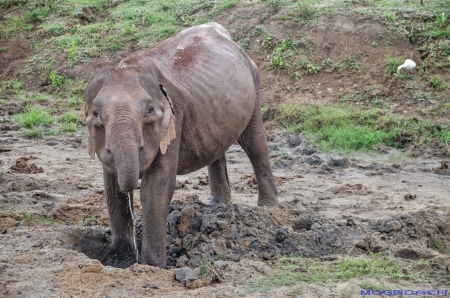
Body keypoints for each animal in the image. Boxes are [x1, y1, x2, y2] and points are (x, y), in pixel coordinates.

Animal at [82, 21, 276, 268]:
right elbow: (112, 189)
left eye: (149, 111)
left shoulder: (174, 120)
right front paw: (122, 262)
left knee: (255, 144)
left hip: (254, 86)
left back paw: (268, 208)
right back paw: (216, 207)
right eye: (96, 115)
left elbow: (156, 187)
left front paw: (151, 267)